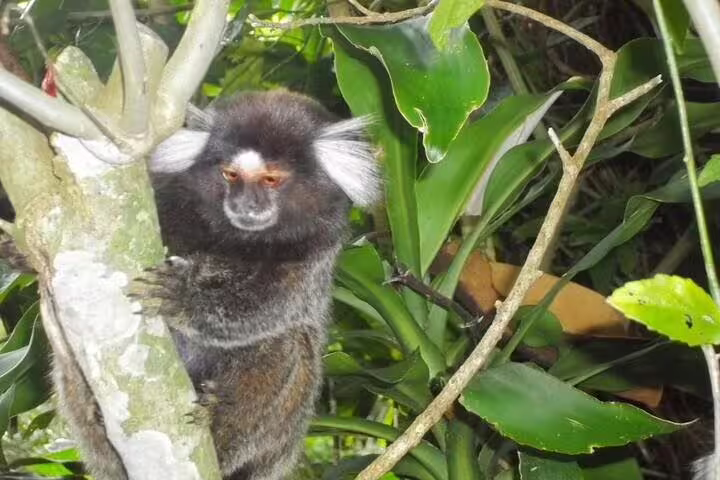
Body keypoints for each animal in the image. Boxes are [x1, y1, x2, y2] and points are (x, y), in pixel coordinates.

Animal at [0, 90, 381, 480]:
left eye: (271, 180)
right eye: (230, 174)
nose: (245, 204)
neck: (237, 238)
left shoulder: (318, 250)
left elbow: (270, 309)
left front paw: (183, 298)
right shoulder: (165, 197)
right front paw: (20, 252)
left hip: (274, 438)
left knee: (288, 343)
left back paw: (219, 423)